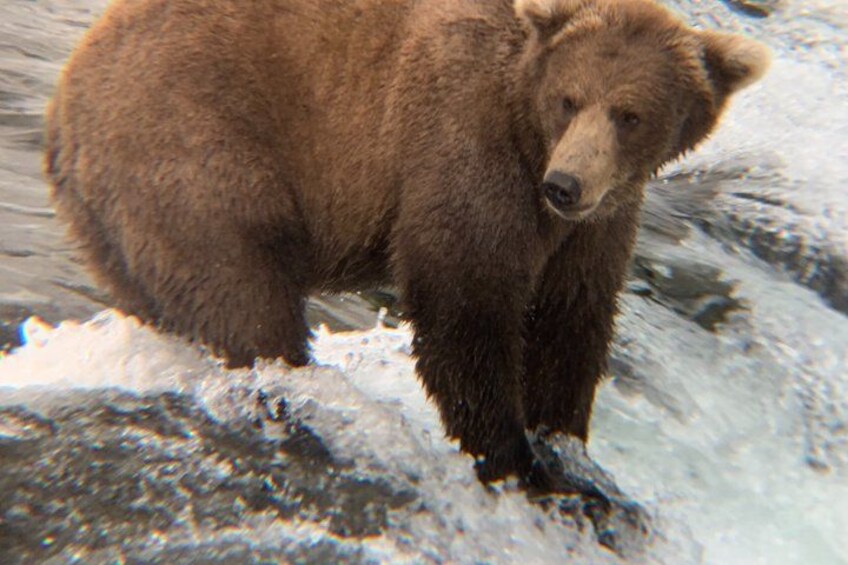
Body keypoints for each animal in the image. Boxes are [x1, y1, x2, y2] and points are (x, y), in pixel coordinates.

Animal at [45, 0, 769, 490]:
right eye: (569, 99)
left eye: (630, 114)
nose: (565, 185)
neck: (526, 126)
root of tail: (64, 100)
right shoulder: (465, 141)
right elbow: (466, 300)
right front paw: (513, 456)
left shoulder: (598, 223)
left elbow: (572, 319)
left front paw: (566, 447)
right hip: (194, 150)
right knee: (244, 297)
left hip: (115, 216)